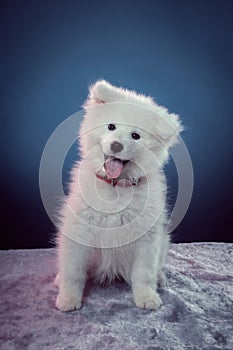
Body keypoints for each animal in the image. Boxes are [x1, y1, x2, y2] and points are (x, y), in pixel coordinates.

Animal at [55, 80, 183, 312]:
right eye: (111, 126)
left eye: (136, 136)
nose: (116, 145)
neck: (116, 186)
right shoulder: (79, 230)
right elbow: (74, 271)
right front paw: (69, 298)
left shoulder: (146, 237)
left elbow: (144, 273)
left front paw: (146, 297)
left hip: (163, 240)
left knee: (157, 266)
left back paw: (159, 278)